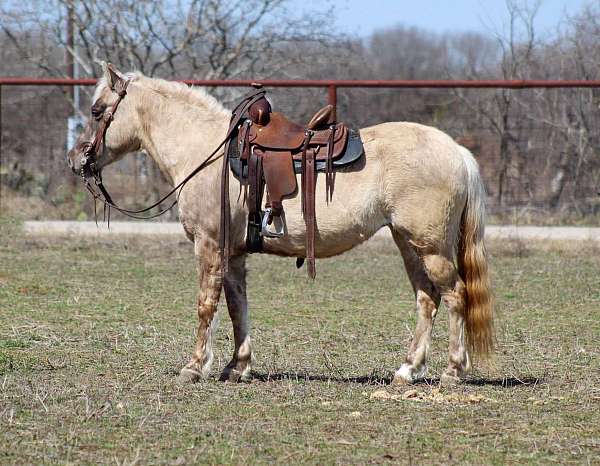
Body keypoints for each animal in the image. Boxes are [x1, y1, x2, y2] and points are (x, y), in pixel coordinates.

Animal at [68, 63, 494, 388]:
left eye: (96, 111)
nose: (75, 159)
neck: (206, 151)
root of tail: (456, 150)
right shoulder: (233, 253)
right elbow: (237, 305)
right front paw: (236, 366)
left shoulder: (209, 245)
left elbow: (206, 305)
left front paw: (194, 367)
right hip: (408, 243)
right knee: (427, 298)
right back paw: (406, 369)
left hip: (431, 246)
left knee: (455, 296)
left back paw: (453, 371)